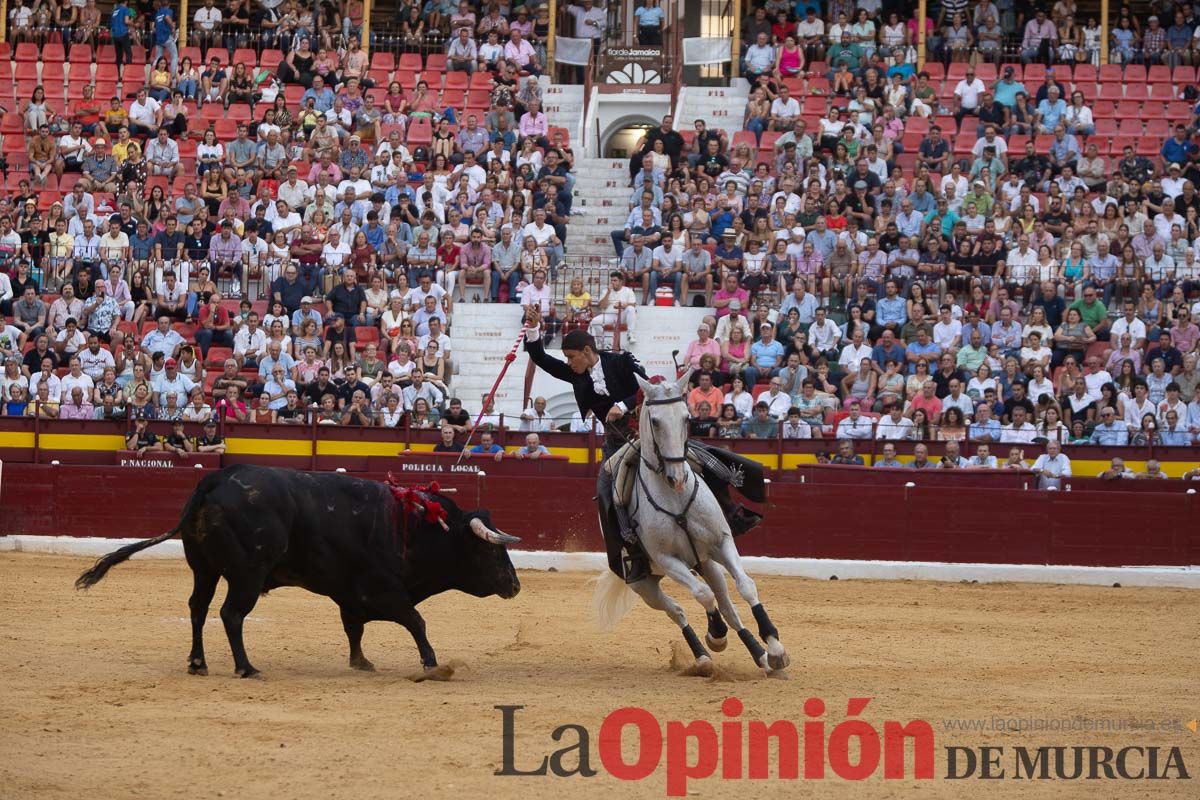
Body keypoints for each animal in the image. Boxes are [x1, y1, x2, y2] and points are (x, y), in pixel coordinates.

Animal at [76, 465, 520, 681]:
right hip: (248, 574)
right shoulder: (382, 590)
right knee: (231, 614)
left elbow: (354, 628)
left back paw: (198, 663)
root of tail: (215, 480)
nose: (515, 586)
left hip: (203, 569)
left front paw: (361, 662)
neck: (417, 527)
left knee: (198, 609)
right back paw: (246, 668)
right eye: (491, 550)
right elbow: (416, 620)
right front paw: (432, 665)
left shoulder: (349, 595)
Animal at [590, 369, 787, 676]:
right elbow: (703, 595)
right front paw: (716, 635)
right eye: (655, 421)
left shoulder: (721, 543)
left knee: (729, 608)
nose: (678, 477)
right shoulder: (668, 559)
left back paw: (761, 656)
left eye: (686, 417)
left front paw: (775, 648)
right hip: (645, 583)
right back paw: (703, 656)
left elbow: (745, 586)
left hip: (705, 562)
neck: (675, 499)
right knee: (678, 611)